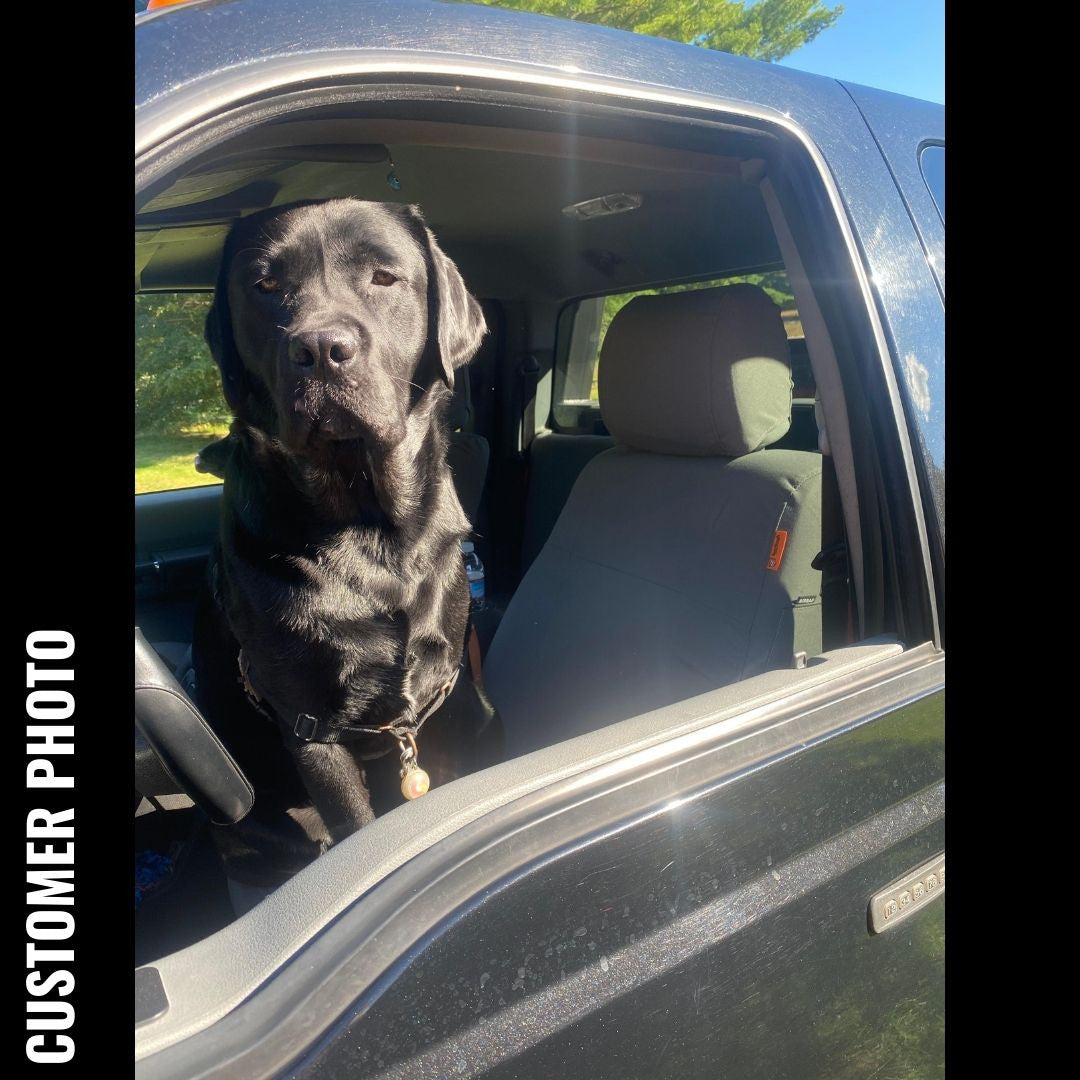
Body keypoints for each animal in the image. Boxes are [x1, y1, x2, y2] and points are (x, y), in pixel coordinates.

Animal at [193, 200, 501, 885]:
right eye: (264, 285)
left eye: (384, 277)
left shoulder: (447, 697)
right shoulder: (311, 727)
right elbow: (358, 827)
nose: (321, 348)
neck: (372, 534)